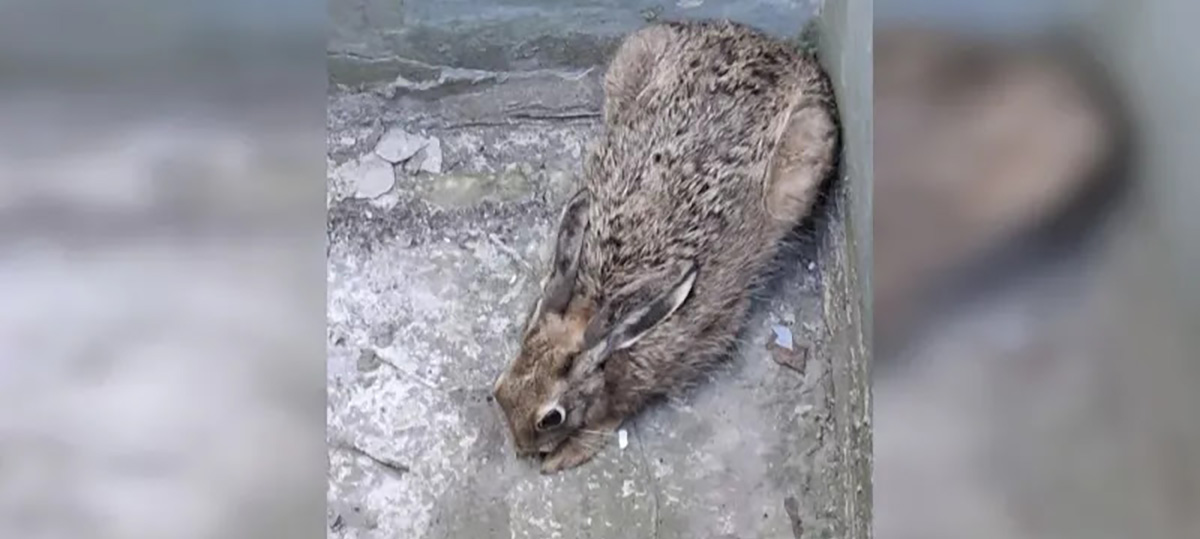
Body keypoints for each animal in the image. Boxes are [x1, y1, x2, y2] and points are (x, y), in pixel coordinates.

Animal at [492, 19, 840, 474]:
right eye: (500, 389)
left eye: (552, 418)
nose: (520, 449)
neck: (597, 309)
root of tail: (772, 46)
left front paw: (568, 453)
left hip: (805, 155)